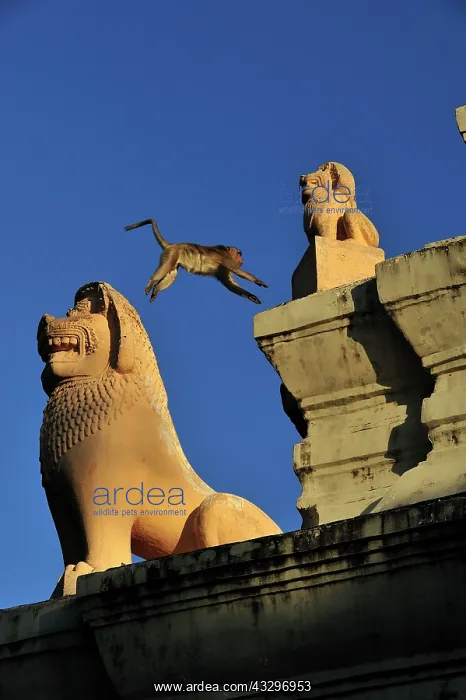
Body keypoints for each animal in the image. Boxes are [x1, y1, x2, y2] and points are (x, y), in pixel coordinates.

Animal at [124, 218, 268, 304]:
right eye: (239, 254)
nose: (241, 259)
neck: (226, 252)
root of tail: (172, 245)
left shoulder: (223, 269)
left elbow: (229, 284)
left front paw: (252, 296)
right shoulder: (226, 259)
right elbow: (238, 271)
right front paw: (258, 281)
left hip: (174, 258)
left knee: (172, 274)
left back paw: (156, 289)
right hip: (171, 254)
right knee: (165, 267)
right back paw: (151, 283)